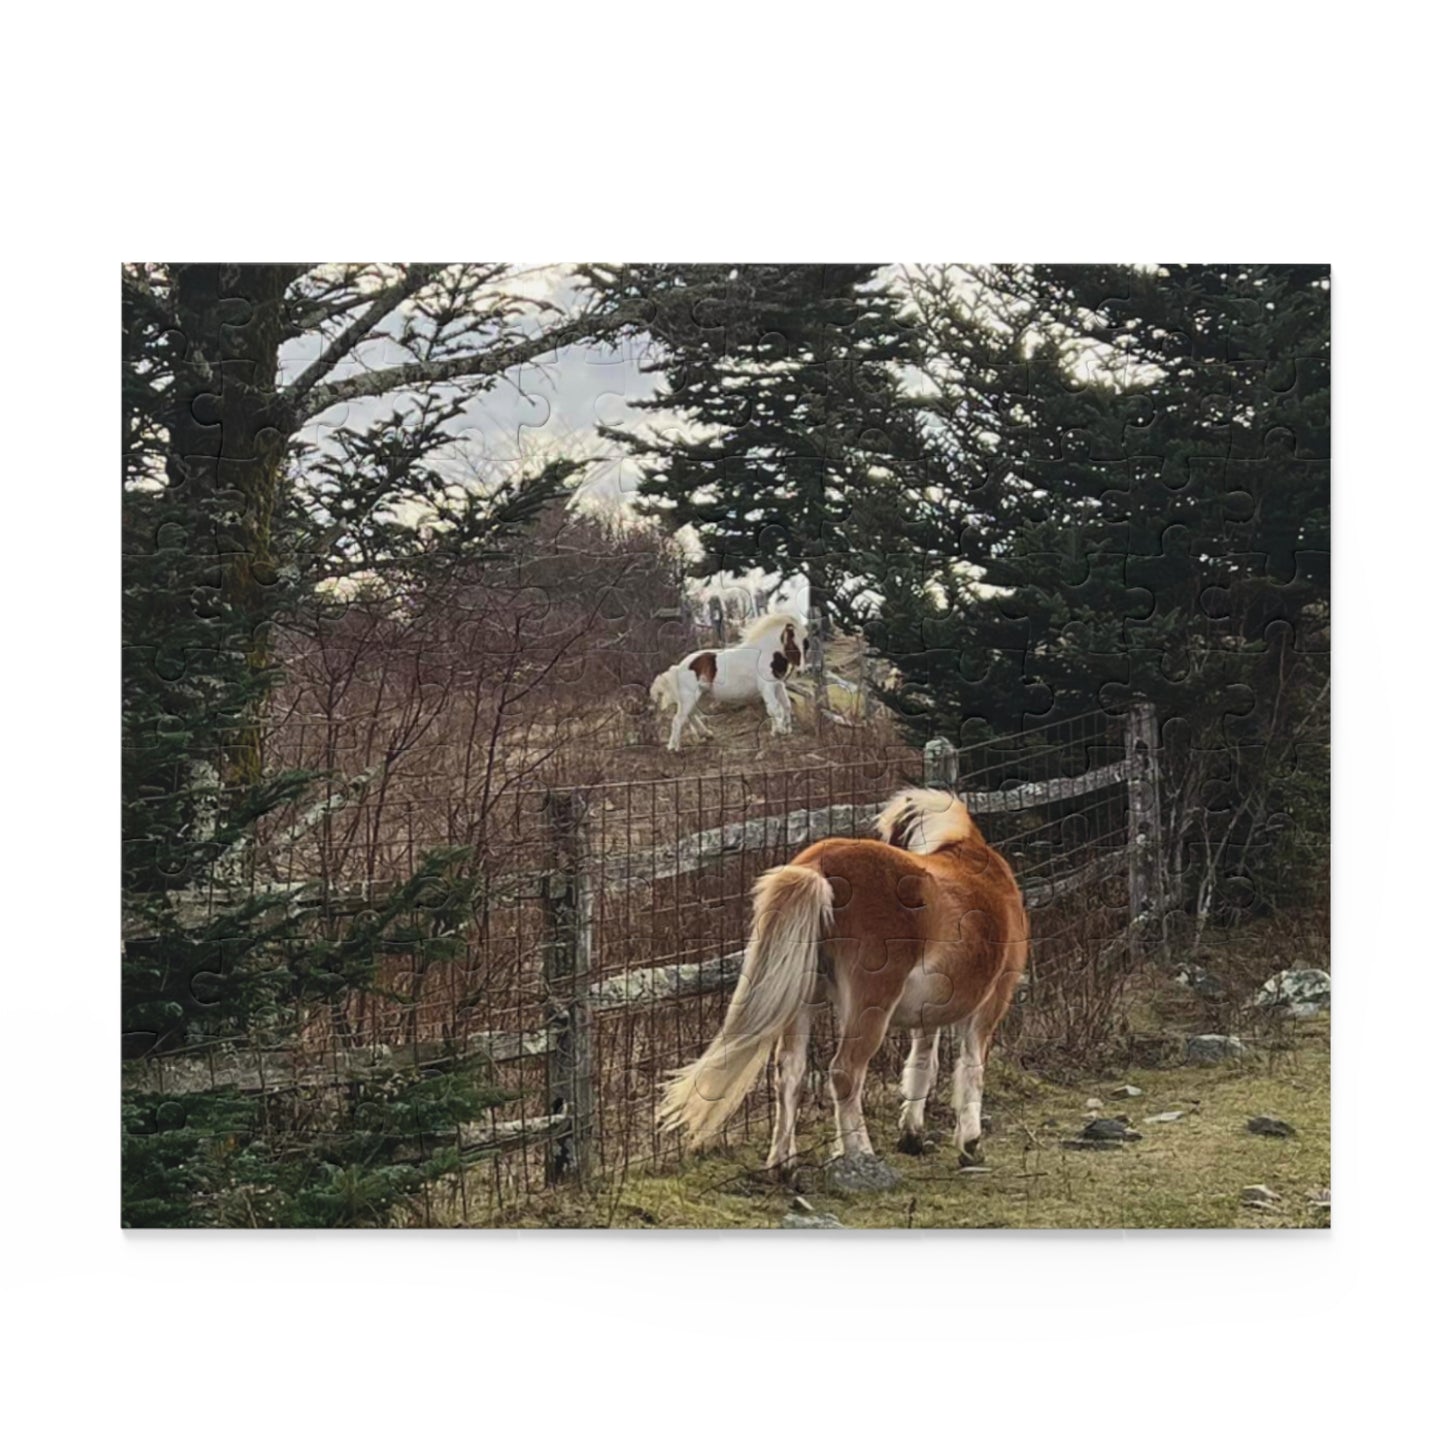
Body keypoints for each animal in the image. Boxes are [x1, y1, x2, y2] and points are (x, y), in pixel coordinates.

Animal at [649, 611, 809, 752]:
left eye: (805, 644)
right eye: (793, 642)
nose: (801, 671)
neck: (764, 653)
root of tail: (678, 667)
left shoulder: (778, 685)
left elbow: (786, 706)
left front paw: (784, 729)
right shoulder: (767, 687)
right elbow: (774, 709)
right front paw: (779, 731)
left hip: (694, 696)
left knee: (690, 714)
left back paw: (706, 734)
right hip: (689, 696)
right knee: (679, 719)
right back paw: (673, 748)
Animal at [657, 786, 1029, 1175]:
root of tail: (818, 869)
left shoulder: (929, 1015)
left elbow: (922, 1065)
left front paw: (912, 1135)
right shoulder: (990, 1006)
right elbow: (971, 1068)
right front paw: (970, 1143)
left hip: (802, 1002)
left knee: (790, 1072)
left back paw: (783, 1163)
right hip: (870, 1008)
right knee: (844, 1072)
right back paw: (859, 1153)